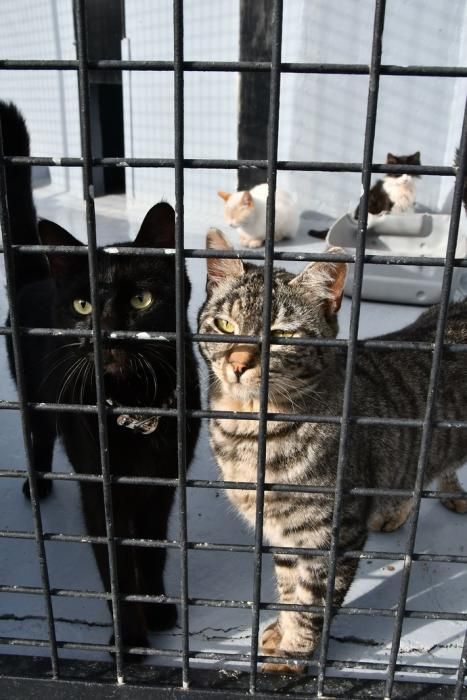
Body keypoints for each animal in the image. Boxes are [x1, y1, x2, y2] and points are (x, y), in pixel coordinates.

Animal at [1, 102, 203, 656]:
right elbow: (117, 566)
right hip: (34, 398)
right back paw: (38, 485)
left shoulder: (162, 486)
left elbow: (150, 550)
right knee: (38, 436)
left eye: (141, 300)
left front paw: (159, 609)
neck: (136, 404)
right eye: (82, 306)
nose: (108, 331)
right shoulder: (102, 494)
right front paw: (130, 638)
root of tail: (37, 278)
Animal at [198, 230, 467, 672]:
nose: (237, 365)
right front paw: (280, 632)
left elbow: (311, 605)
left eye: (284, 336)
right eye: (224, 325)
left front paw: (292, 656)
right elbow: (289, 590)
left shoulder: (332, 535)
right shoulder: (284, 535)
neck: (249, 433)